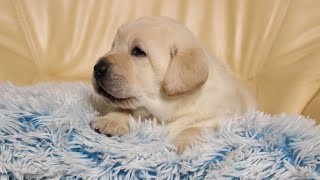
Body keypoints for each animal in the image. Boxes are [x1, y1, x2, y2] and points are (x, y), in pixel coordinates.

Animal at [90, 16, 258, 153]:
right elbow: (124, 108)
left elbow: (195, 128)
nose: (97, 68)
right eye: (113, 46)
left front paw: (181, 144)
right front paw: (110, 120)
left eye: (138, 51)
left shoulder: (223, 119)